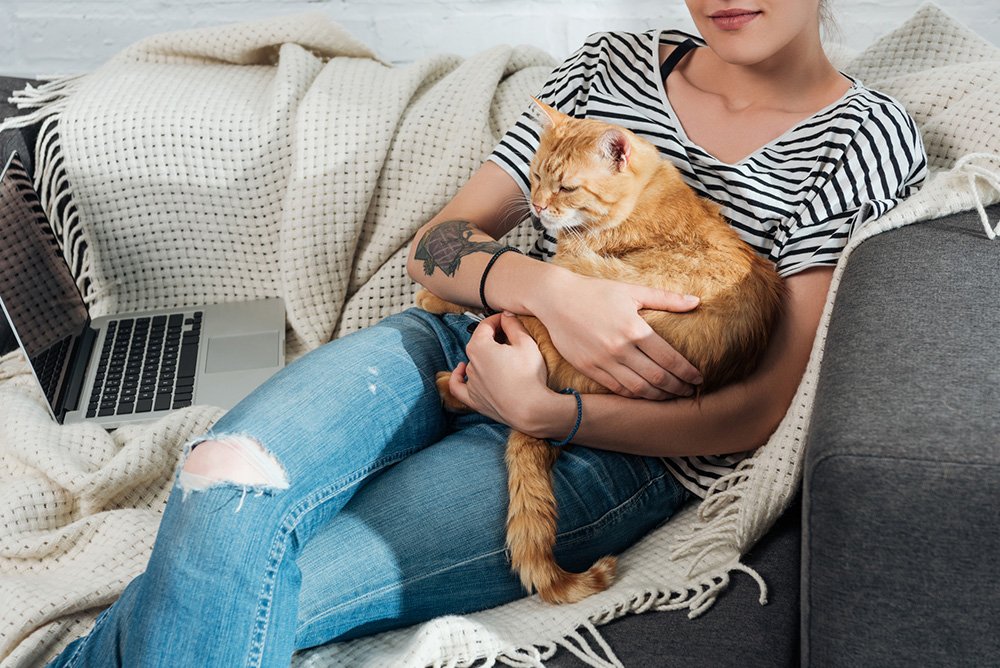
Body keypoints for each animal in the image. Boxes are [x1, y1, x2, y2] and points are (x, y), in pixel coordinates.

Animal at [412, 99, 780, 604]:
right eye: (534, 176)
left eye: (566, 186)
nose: (538, 206)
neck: (646, 195)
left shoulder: (562, 271)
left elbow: (514, 281)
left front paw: (435, 298)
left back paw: (452, 382)